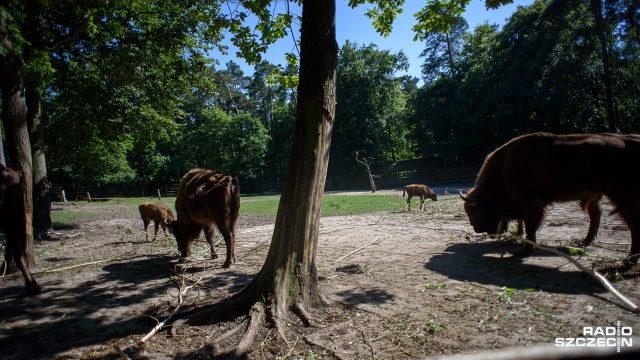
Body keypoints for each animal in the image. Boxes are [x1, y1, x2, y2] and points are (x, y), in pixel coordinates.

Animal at [460, 131, 640, 262]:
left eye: (475, 212)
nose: (477, 229)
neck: (505, 167)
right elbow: (524, 223)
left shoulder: (530, 202)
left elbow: (530, 225)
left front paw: (526, 250)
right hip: (599, 196)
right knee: (596, 214)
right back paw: (587, 241)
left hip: (622, 198)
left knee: (632, 225)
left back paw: (629, 259)